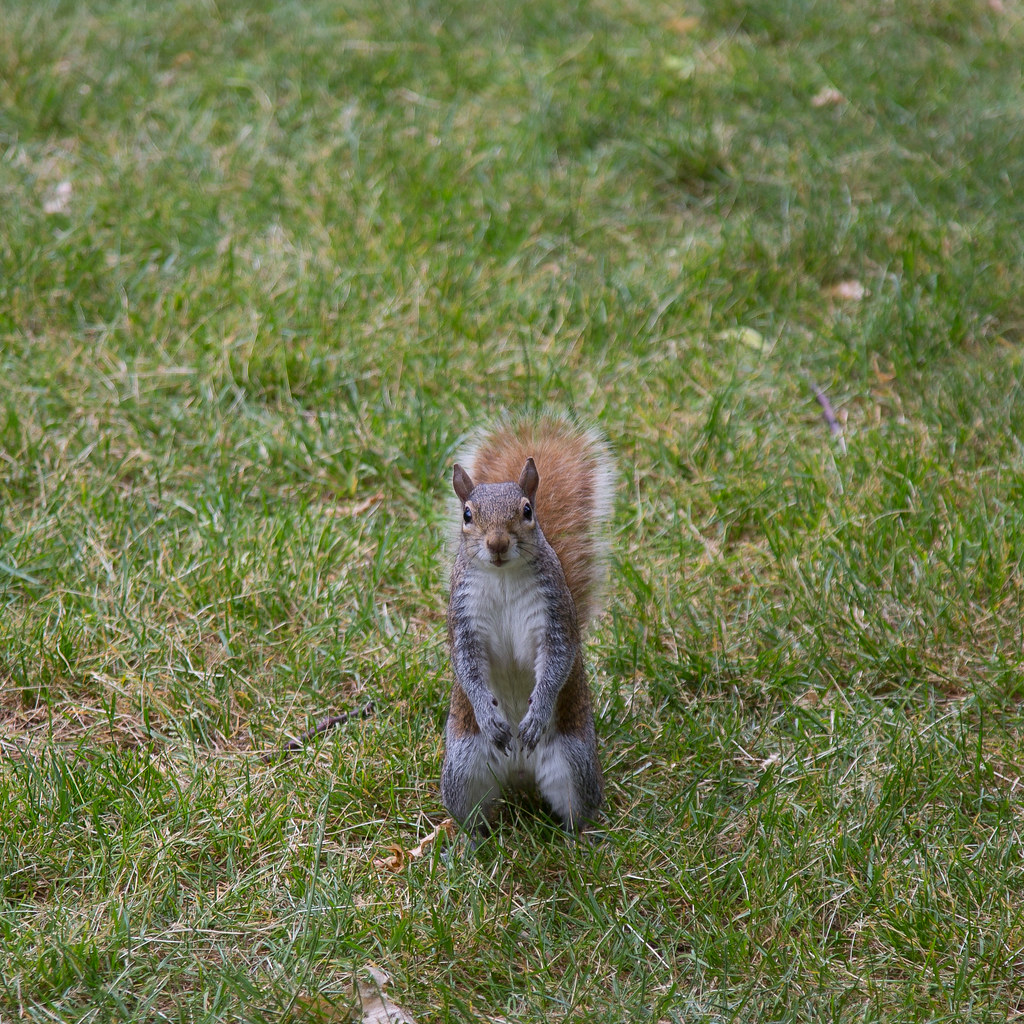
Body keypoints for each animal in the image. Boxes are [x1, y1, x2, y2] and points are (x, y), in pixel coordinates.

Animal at [441, 414, 615, 838]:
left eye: (526, 511)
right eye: (467, 514)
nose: (498, 543)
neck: (502, 576)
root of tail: (519, 776)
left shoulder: (554, 616)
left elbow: (556, 661)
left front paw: (536, 716)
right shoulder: (464, 619)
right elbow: (467, 665)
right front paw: (490, 718)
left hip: (573, 763)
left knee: (576, 810)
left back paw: (577, 843)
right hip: (463, 766)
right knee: (472, 816)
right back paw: (471, 845)